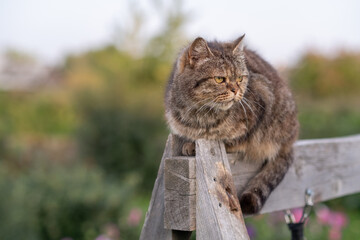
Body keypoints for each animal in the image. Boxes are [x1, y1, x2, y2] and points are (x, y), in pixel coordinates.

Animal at [165, 35, 300, 214]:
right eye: (219, 79)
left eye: (240, 78)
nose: (236, 90)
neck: (201, 114)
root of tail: (290, 140)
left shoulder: (261, 101)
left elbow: (231, 138)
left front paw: (195, 144)